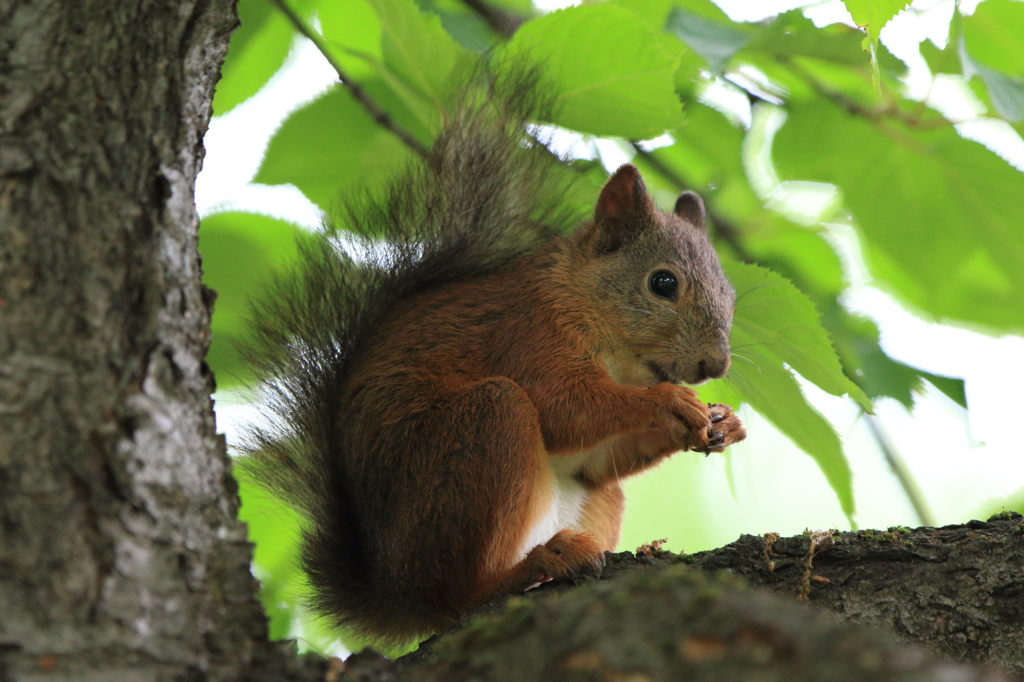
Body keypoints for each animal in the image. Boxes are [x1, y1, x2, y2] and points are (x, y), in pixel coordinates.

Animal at [238, 69, 745, 643]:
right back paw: (528, 568)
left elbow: (595, 457)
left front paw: (726, 423)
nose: (715, 366)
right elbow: (567, 407)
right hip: (484, 429)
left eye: (731, 295)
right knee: (455, 596)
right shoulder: (528, 333)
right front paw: (668, 403)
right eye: (663, 284)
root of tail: (393, 594)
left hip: (591, 496)